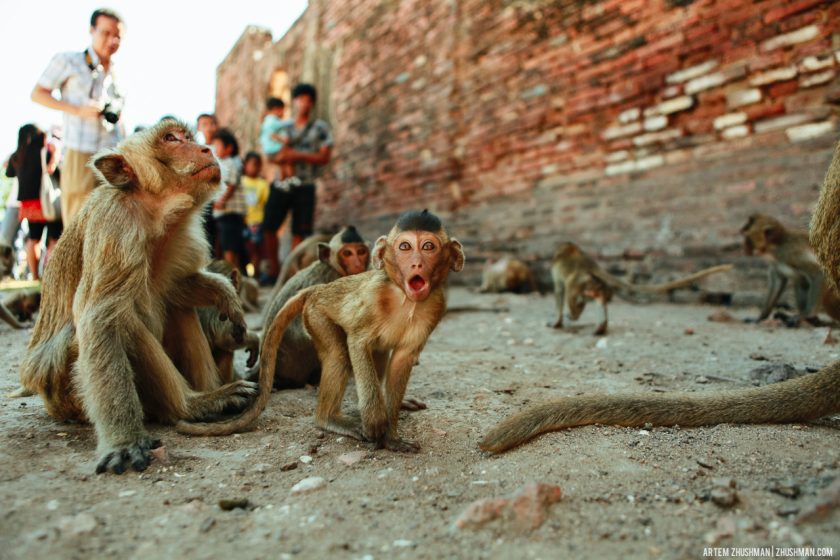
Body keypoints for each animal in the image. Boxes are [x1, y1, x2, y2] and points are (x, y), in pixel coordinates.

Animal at [18, 121, 256, 472]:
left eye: (188, 137)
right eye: (171, 139)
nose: (206, 148)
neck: (154, 212)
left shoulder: (183, 233)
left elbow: (176, 287)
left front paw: (224, 292)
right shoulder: (115, 226)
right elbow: (100, 321)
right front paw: (124, 443)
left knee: (178, 307)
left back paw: (211, 394)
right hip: (66, 392)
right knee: (124, 320)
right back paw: (192, 405)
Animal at [548, 242, 732, 336]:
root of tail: (589, 263)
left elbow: (559, 292)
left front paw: (556, 322)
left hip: (577, 282)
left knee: (570, 295)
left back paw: (573, 315)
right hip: (591, 283)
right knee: (598, 297)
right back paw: (600, 327)